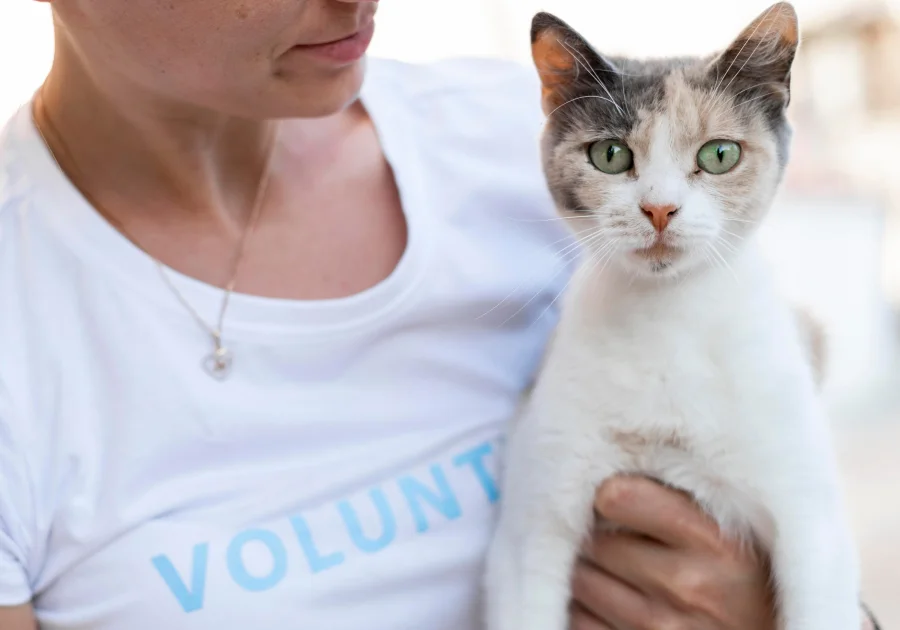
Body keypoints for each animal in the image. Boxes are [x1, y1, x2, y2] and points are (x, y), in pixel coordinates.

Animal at [484, 3, 861, 629]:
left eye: (719, 154)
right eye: (610, 155)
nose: (659, 209)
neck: (666, 320)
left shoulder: (813, 525)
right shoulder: (531, 526)